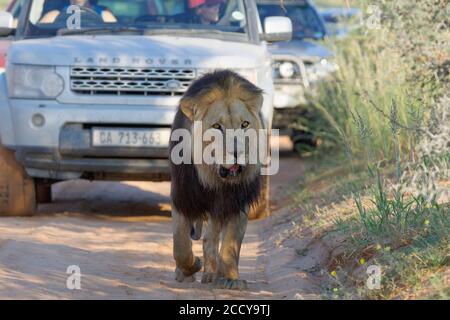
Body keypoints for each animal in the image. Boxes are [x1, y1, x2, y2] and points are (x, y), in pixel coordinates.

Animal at [170, 70, 268, 290]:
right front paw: (190, 267)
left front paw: (231, 279)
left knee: (210, 239)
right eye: (217, 126)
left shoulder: (237, 202)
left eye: (244, 125)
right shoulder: (183, 197)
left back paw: (211, 275)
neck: (216, 180)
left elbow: (231, 243)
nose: (237, 152)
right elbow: (180, 244)